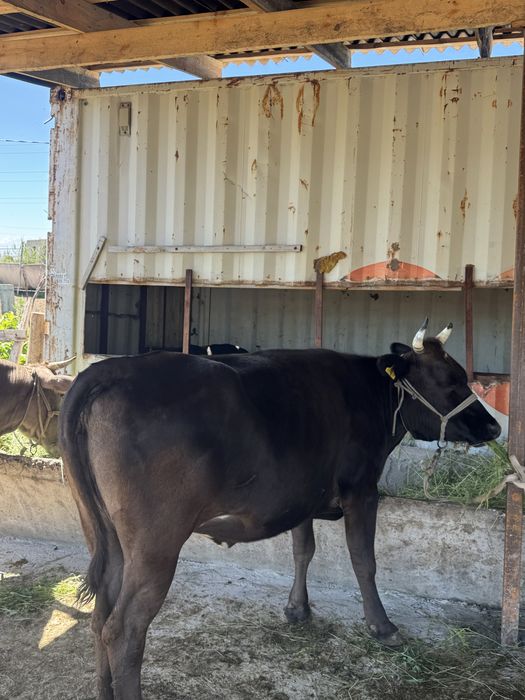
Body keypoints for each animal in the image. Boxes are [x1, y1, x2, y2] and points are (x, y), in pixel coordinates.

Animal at [59, 320, 500, 700]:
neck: (370, 396)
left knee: (100, 615)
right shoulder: (362, 489)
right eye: (449, 382)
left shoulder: (300, 495)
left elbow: (303, 549)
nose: (495, 428)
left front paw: (297, 608)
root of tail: (111, 370)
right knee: (124, 630)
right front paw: (382, 625)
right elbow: (364, 560)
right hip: (155, 543)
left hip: (106, 535)